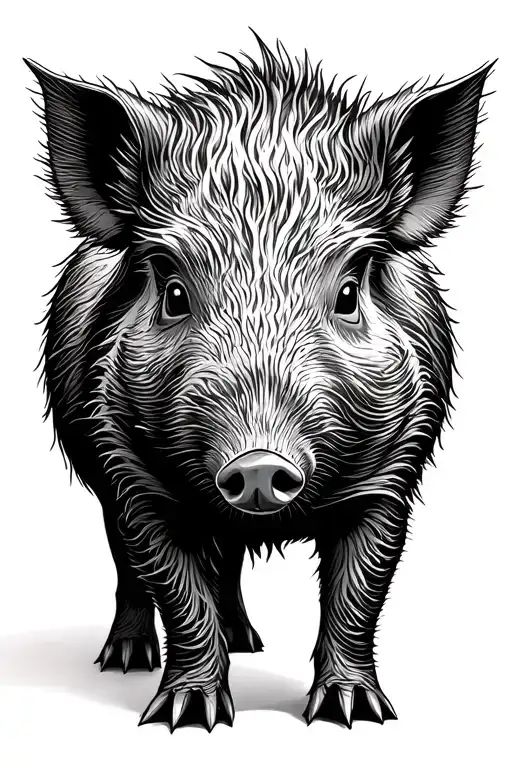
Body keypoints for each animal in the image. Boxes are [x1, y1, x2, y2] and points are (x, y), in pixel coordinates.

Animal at [25, 36, 492, 732]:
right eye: (172, 292)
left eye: (349, 291)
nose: (257, 463)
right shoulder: (135, 477)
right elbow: (176, 589)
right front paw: (186, 718)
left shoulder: (391, 480)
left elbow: (359, 594)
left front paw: (355, 716)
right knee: (129, 563)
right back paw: (126, 660)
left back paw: (249, 641)